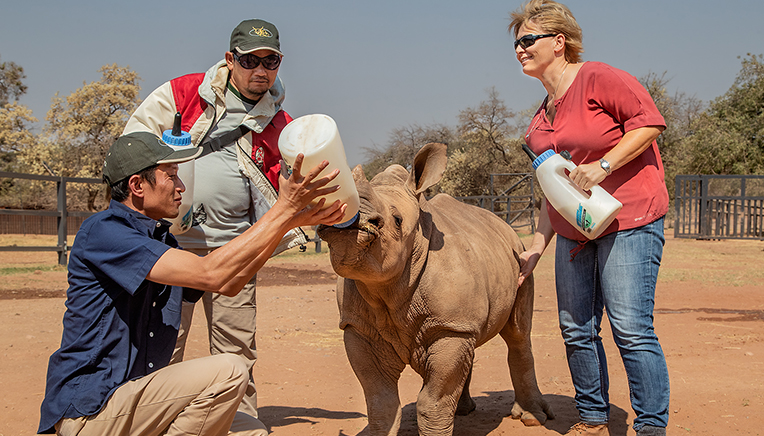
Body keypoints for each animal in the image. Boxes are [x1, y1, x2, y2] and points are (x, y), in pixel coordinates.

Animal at [317, 143, 553, 436]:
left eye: (397, 220)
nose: (350, 221)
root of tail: (502, 225)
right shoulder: (358, 327)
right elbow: (380, 403)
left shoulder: (450, 327)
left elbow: (433, 403)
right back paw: (463, 410)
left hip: (520, 256)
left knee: (518, 333)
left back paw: (531, 418)